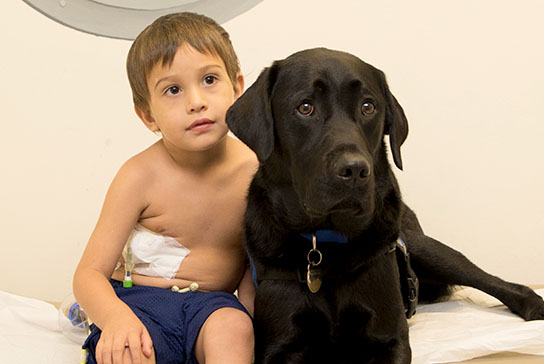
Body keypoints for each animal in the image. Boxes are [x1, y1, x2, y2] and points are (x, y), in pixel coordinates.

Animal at [225, 48, 544, 364]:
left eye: (368, 107)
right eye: (305, 107)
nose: (354, 170)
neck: (326, 246)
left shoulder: (389, 339)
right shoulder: (279, 346)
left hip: (426, 249)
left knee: (497, 282)